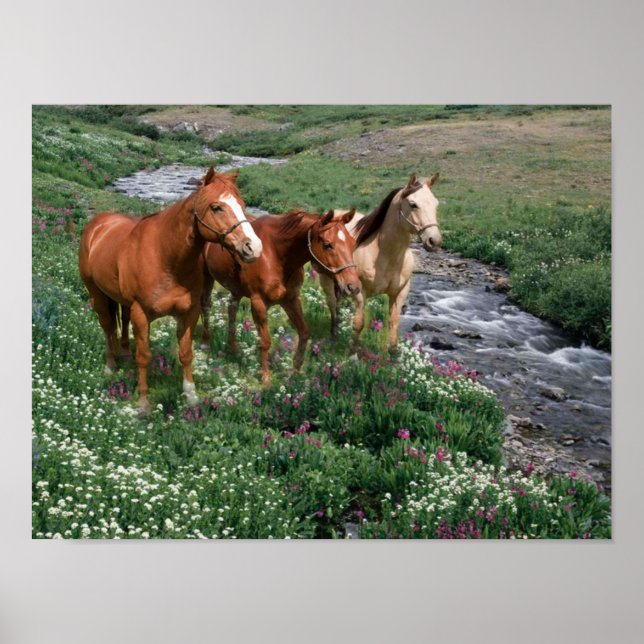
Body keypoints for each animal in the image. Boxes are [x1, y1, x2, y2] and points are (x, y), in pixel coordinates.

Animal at [78, 167, 263, 413]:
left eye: (242, 204)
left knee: (122, 322)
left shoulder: (189, 312)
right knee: (107, 327)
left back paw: (124, 355)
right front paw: (143, 402)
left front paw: (191, 395)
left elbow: (185, 354)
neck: (165, 257)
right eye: (216, 207)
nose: (253, 247)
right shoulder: (141, 314)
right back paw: (110, 365)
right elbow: (144, 356)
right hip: (96, 294)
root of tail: (97, 225)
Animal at [200, 208, 361, 385]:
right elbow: (265, 341)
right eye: (328, 245)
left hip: (236, 290)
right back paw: (206, 344)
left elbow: (304, 333)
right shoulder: (258, 303)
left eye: (353, 243)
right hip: (206, 278)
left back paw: (234, 349)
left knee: (231, 310)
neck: (275, 254)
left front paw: (295, 371)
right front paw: (266, 378)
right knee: (205, 306)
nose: (353, 287)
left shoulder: (291, 300)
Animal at [319, 173, 442, 349]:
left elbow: (394, 323)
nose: (434, 241)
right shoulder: (360, 292)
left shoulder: (400, 293)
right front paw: (353, 351)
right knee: (332, 305)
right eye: (413, 204)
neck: (385, 255)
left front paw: (392, 352)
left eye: (435, 203)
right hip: (326, 279)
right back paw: (333, 335)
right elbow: (359, 323)